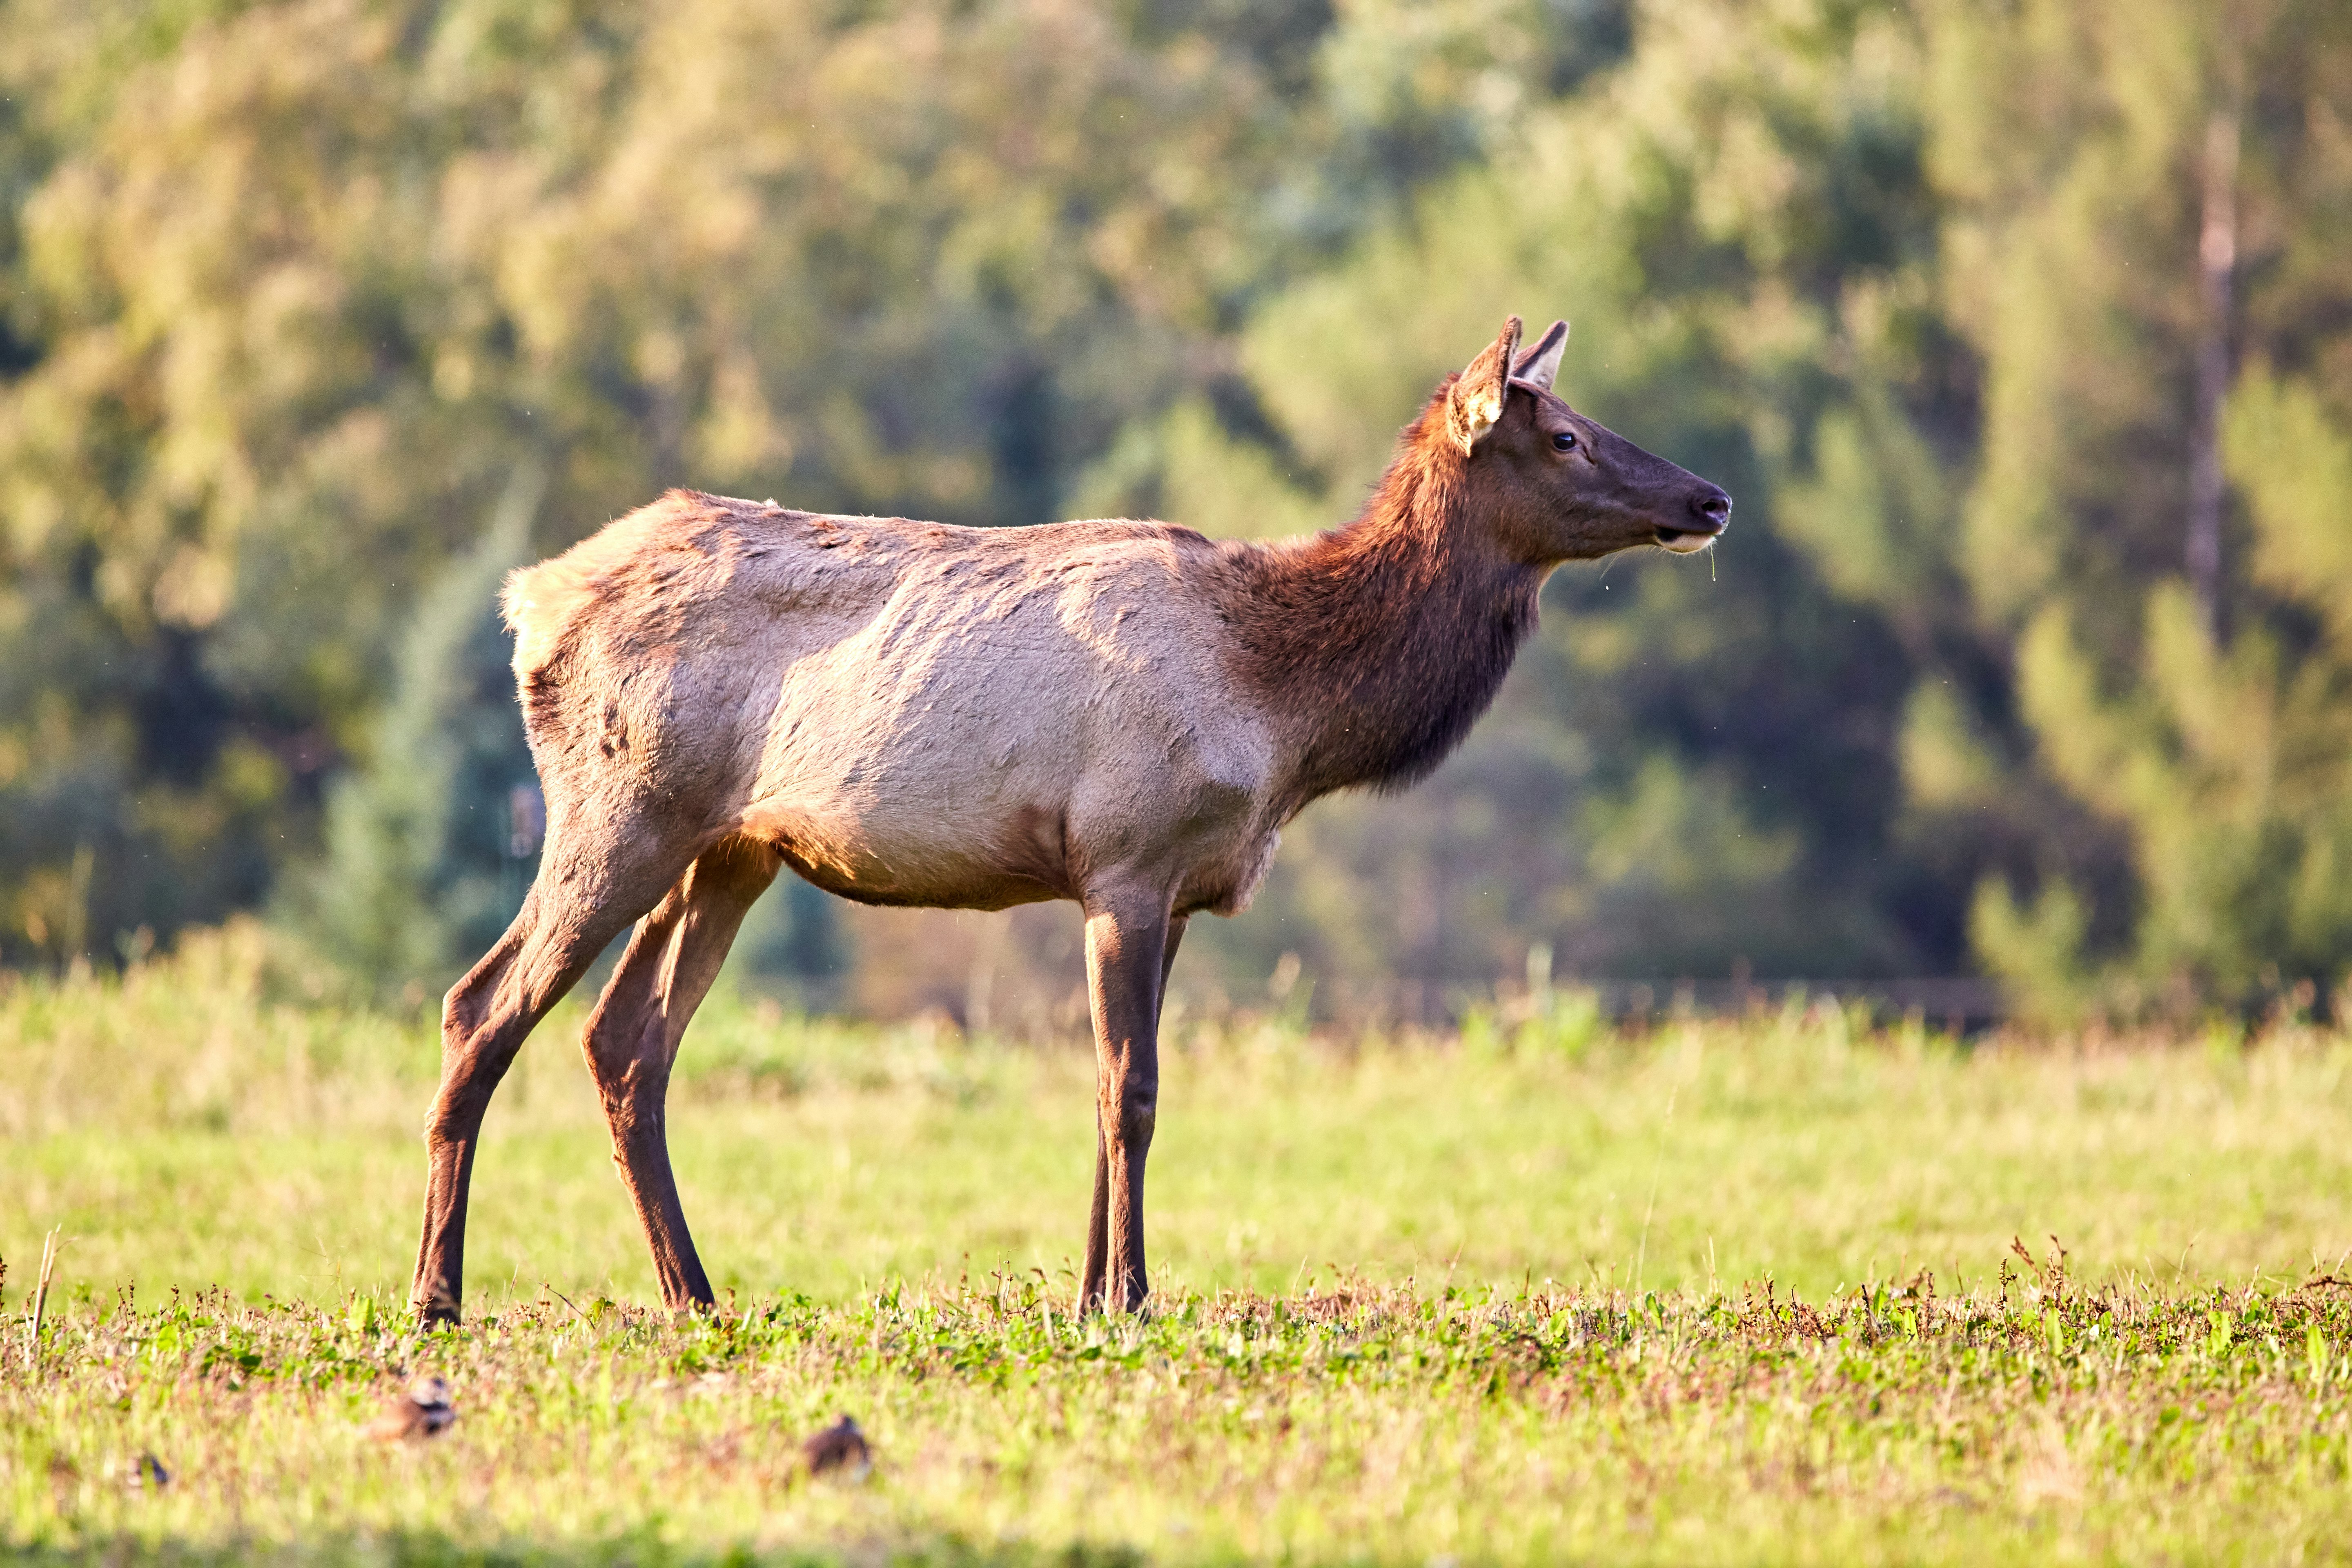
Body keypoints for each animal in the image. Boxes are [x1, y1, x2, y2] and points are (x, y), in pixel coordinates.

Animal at [409, 315, 1731, 1326]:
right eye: (1565, 435)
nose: (1711, 495)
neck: (1287, 712)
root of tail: (527, 600)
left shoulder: (1175, 884)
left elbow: (1112, 1087)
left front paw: (1095, 1291)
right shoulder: (1128, 853)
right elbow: (1131, 1088)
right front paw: (1131, 1295)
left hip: (728, 849)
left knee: (624, 1038)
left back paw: (693, 1292)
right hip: (617, 809)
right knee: (483, 1003)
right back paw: (439, 1295)